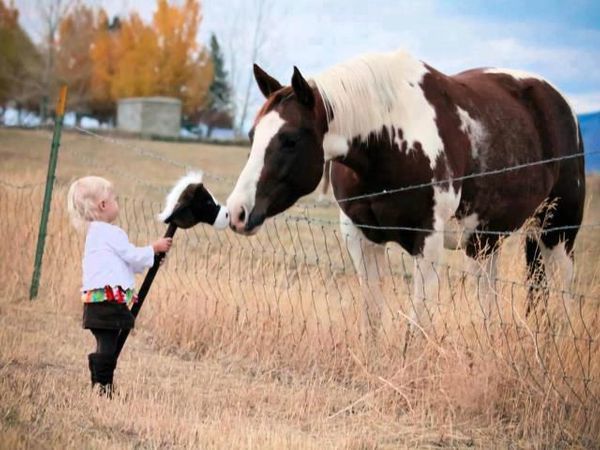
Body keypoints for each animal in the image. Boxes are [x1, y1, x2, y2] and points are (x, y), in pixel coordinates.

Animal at [225, 51, 584, 336]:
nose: (237, 212)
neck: (390, 140)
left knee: (564, 291)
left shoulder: (428, 240)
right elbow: (372, 316)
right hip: (486, 240)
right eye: (253, 135)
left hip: (558, 231)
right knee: (491, 296)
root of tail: (560, 103)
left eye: (290, 140)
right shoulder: (359, 236)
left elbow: (418, 323)